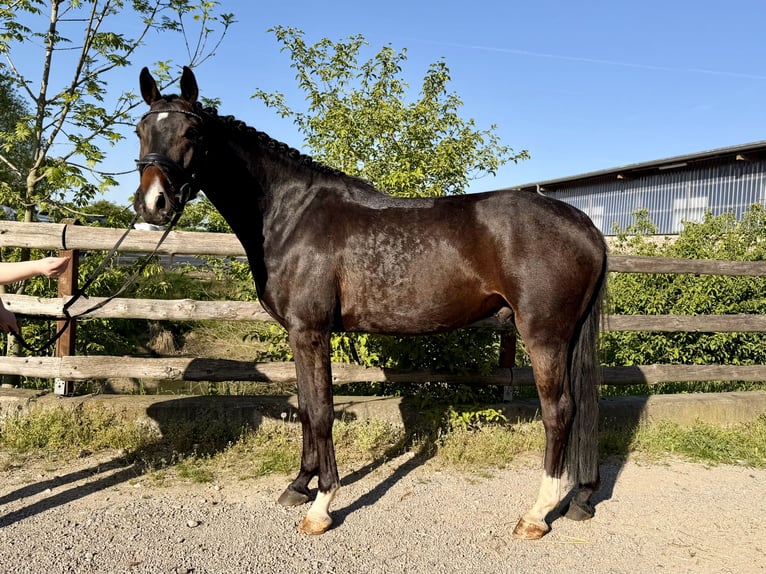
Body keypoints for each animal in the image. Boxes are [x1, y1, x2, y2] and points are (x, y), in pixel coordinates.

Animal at [133, 66, 608, 539]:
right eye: (140, 129)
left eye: (192, 132)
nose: (153, 203)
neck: (290, 214)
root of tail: (585, 225)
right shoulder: (298, 335)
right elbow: (305, 409)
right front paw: (298, 485)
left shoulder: (310, 332)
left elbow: (321, 411)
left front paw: (321, 505)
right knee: (583, 409)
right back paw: (580, 498)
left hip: (544, 336)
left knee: (559, 412)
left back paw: (536, 514)